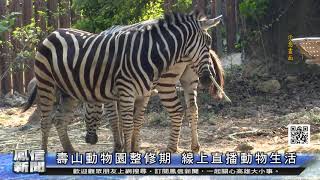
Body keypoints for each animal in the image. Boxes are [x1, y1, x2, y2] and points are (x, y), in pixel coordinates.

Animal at [23, 11, 222, 152]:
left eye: (210, 43)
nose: (207, 79)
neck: (149, 53)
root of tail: (55, 31)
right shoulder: (124, 92)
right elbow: (124, 122)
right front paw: (124, 151)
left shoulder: (141, 93)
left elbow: (134, 121)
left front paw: (131, 150)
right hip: (47, 83)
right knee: (46, 121)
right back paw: (44, 154)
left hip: (67, 91)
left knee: (58, 120)